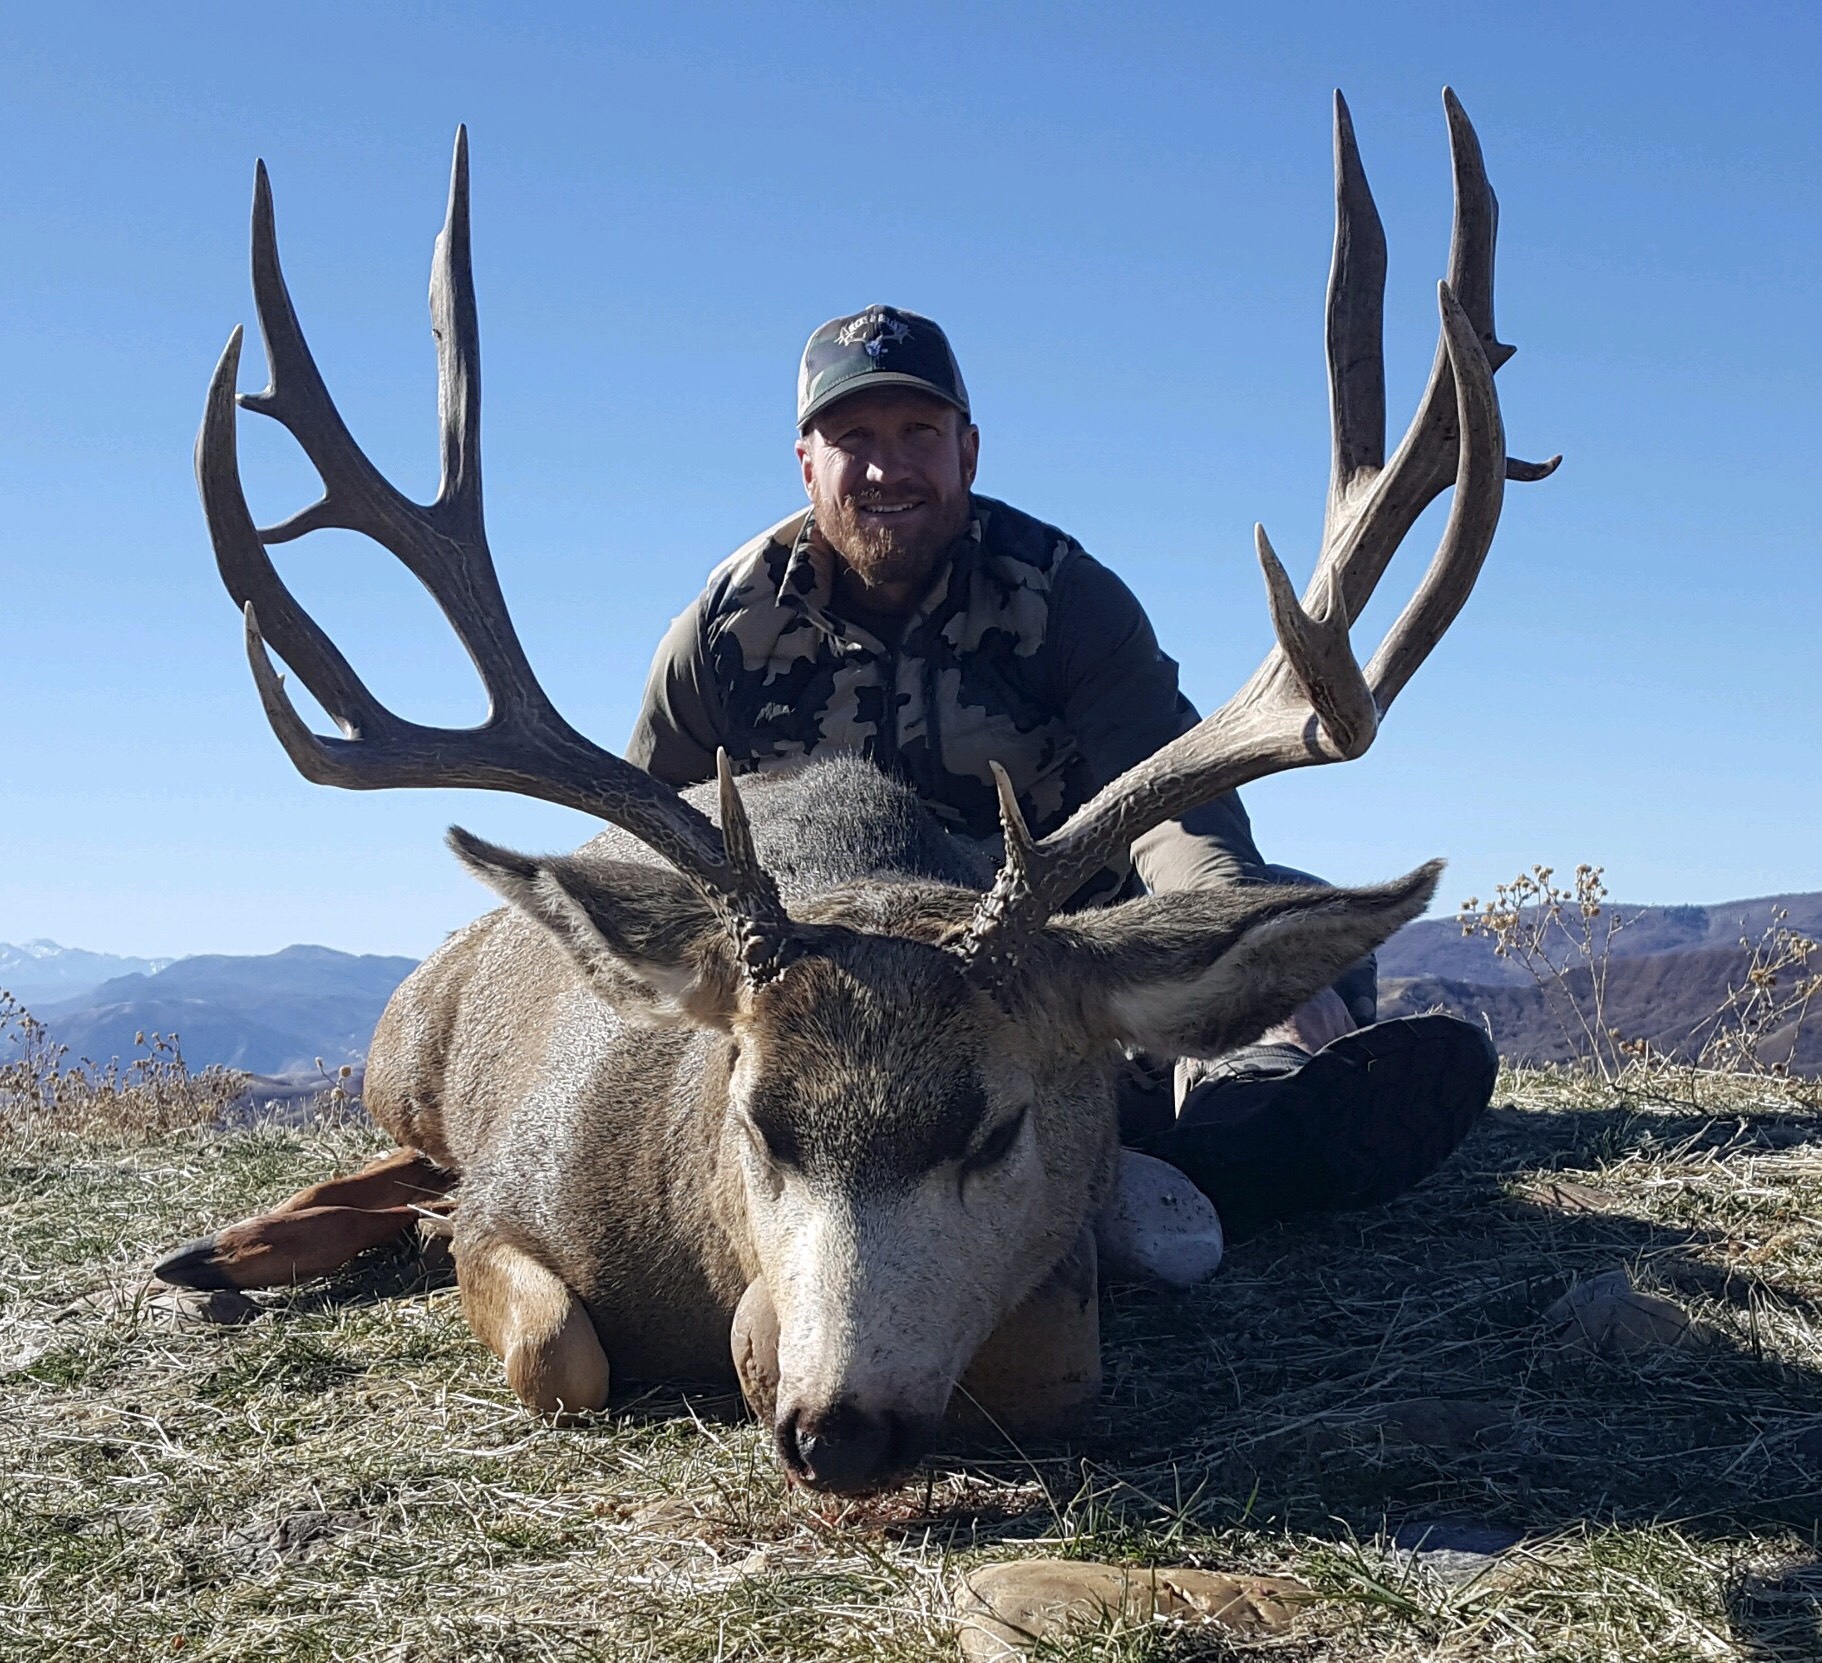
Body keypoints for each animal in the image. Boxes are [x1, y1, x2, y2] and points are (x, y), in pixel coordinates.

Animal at [162, 90, 1555, 1496]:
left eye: (995, 1128)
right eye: (755, 1118)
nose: (841, 1429)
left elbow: (1073, 1333)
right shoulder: (522, 1193)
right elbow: (561, 1347)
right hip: (401, 1059)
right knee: (404, 1162)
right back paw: (224, 1246)